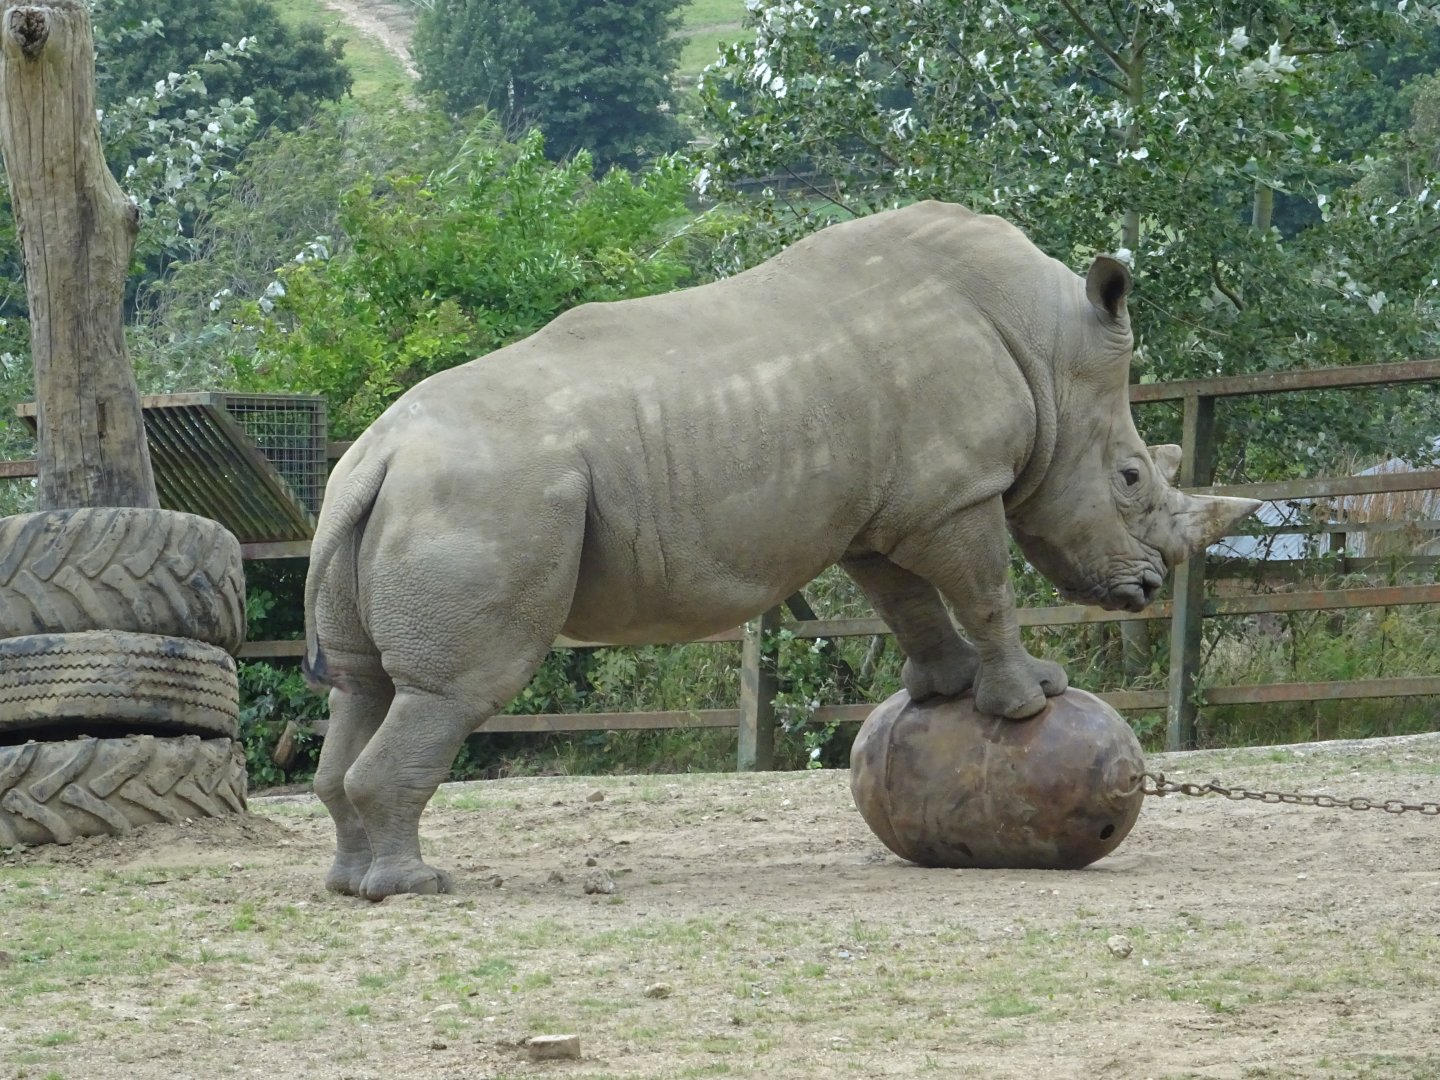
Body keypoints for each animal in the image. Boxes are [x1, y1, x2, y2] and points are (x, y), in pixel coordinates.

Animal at [303, 200, 1258, 899]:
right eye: (1131, 478)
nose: (1145, 586)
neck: (1049, 349)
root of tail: (375, 454)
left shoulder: (886, 507)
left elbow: (905, 600)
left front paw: (945, 692)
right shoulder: (953, 492)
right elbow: (984, 589)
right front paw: (1031, 702)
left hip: (397, 504)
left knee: (362, 687)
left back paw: (352, 884)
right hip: (484, 502)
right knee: (455, 690)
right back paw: (416, 887)